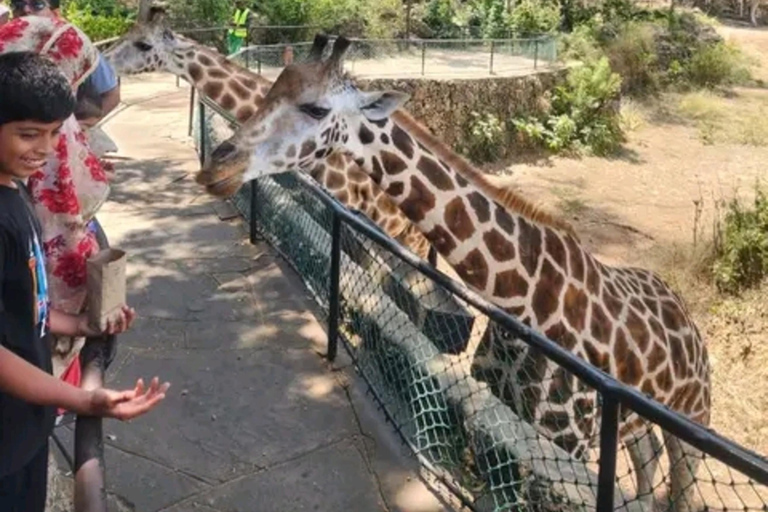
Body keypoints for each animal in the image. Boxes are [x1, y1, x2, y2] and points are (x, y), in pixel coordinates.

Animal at [195, 35, 712, 512]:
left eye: (316, 108)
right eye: (272, 90)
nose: (216, 167)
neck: (521, 298)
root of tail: (690, 323)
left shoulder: (568, 444)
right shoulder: (503, 414)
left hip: (693, 424)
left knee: (681, 488)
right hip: (637, 428)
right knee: (646, 470)